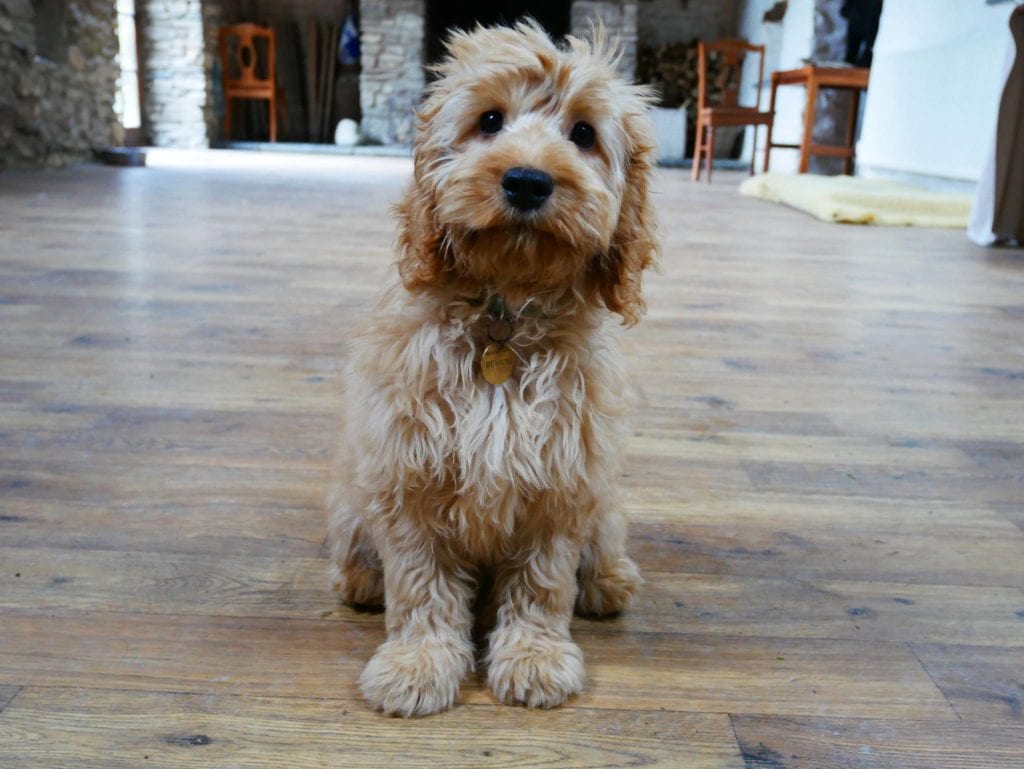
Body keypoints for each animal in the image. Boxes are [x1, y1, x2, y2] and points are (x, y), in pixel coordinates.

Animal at [329, 19, 663, 716]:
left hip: (602, 497)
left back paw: (609, 580)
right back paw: (360, 578)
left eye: (583, 133)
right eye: (489, 120)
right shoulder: (409, 470)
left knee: (601, 545)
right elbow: (420, 582)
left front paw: (534, 657)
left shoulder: (561, 476)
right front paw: (417, 664)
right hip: (353, 496)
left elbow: (542, 581)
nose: (528, 181)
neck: (504, 314)